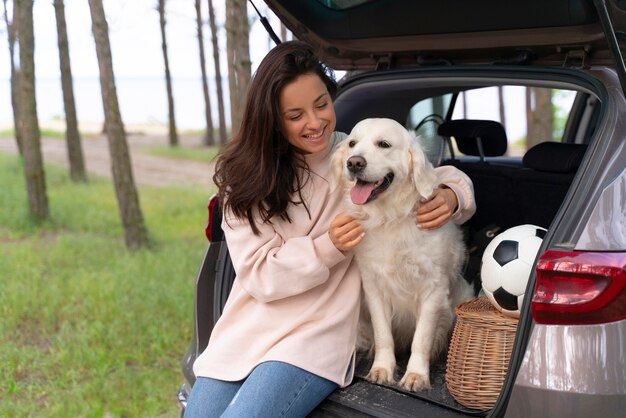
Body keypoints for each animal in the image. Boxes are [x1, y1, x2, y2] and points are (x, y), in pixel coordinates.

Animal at [332, 116, 468, 392]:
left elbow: (421, 339)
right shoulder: (373, 287)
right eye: (352, 144)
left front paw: (416, 375)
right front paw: (382, 369)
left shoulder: (433, 288)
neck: (390, 217)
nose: (354, 162)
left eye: (384, 144)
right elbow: (384, 335)